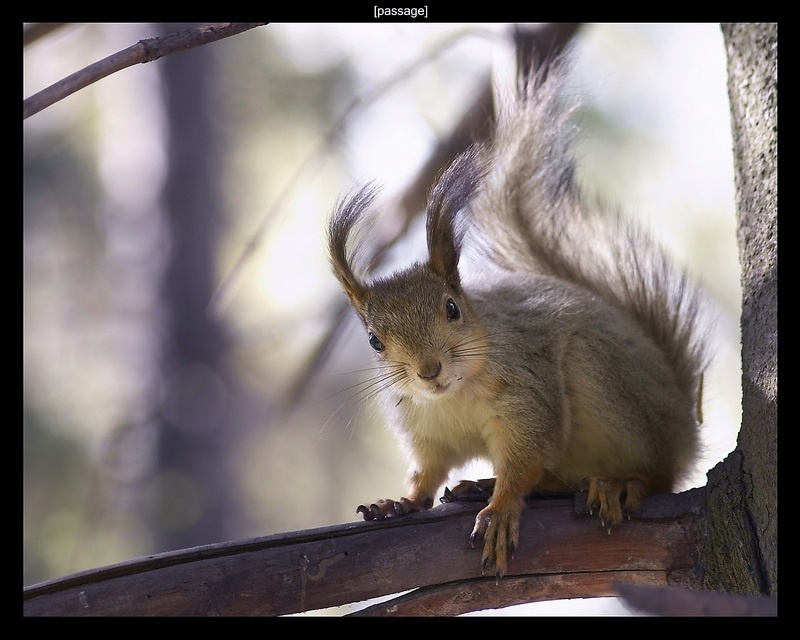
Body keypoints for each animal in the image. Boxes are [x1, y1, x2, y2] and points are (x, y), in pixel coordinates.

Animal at [327, 58, 709, 579]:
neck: (454, 395)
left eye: (452, 308)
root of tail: (684, 431)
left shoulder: (529, 392)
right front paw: (401, 501)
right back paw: (479, 485)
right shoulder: (425, 429)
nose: (428, 371)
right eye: (374, 341)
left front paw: (502, 509)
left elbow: (527, 456)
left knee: (656, 473)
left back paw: (619, 482)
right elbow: (428, 471)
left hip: (602, 378)